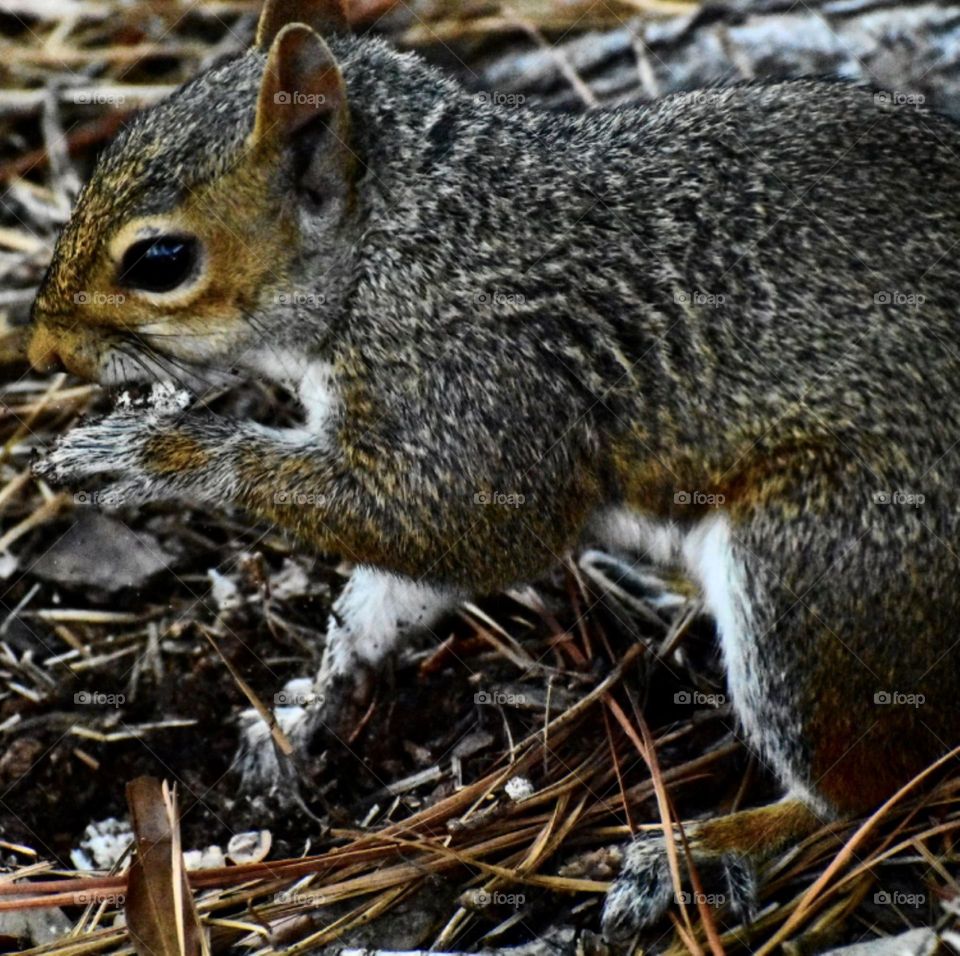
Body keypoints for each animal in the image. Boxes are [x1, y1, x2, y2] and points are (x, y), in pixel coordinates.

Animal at [26, 0, 960, 941]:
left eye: (160, 261)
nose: (42, 351)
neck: (394, 247)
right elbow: (384, 599)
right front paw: (305, 714)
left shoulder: (480, 392)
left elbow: (477, 532)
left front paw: (149, 455)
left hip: (823, 571)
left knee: (866, 796)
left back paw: (705, 849)